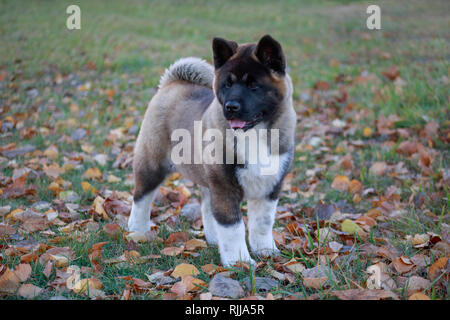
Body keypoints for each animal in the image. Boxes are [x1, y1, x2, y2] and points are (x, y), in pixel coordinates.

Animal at [127, 34, 296, 268]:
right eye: (228, 84)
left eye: (254, 85)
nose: (231, 107)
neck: (254, 133)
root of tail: (171, 83)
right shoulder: (225, 186)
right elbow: (233, 227)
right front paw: (240, 262)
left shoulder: (270, 186)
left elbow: (262, 223)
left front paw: (266, 251)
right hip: (153, 164)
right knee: (141, 197)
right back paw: (137, 231)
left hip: (207, 176)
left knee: (207, 207)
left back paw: (214, 239)